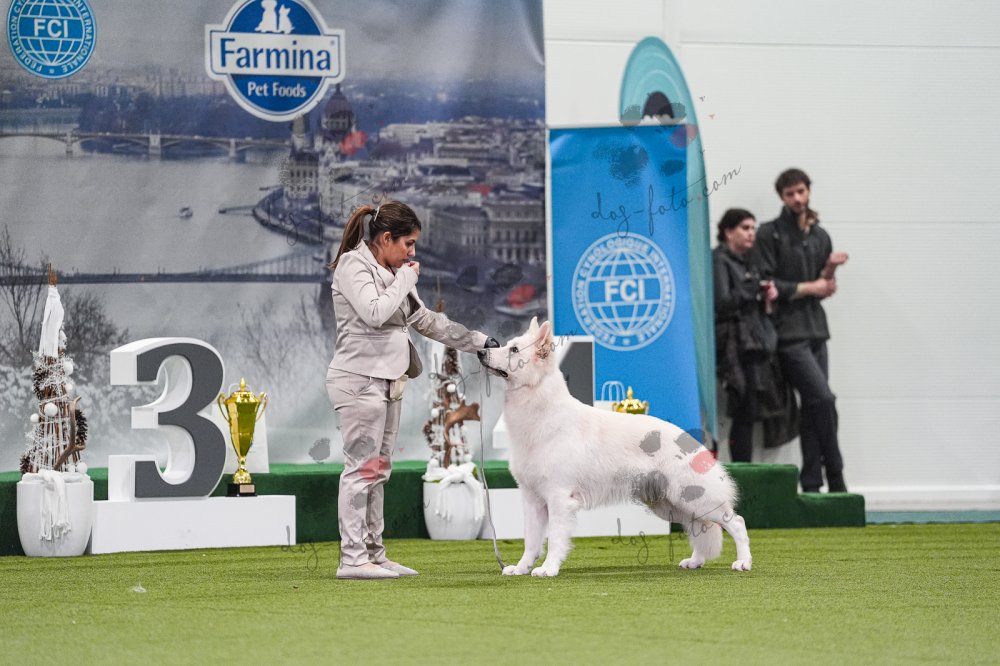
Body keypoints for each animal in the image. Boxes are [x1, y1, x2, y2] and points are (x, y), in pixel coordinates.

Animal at [478, 318, 752, 576]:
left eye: (513, 349)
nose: (481, 351)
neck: (541, 414)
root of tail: (692, 442)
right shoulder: (532, 499)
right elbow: (531, 542)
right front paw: (521, 568)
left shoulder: (559, 497)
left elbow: (555, 538)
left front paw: (549, 568)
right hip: (672, 505)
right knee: (698, 527)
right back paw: (696, 561)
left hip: (694, 498)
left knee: (736, 522)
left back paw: (743, 562)